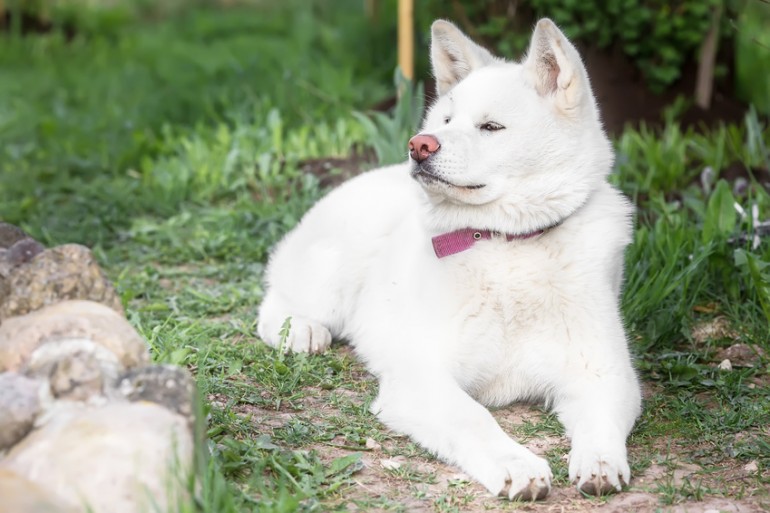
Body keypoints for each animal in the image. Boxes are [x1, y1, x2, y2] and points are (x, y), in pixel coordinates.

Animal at [255, 18, 640, 498]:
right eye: (445, 120)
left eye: (491, 126)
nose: (419, 145)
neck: (505, 243)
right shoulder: (422, 378)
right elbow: (474, 418)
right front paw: (516, 463)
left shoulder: (606, 375)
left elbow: (601, 425)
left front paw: (600, 462)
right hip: (333, 276)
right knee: (274, 300)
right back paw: (301, 331)